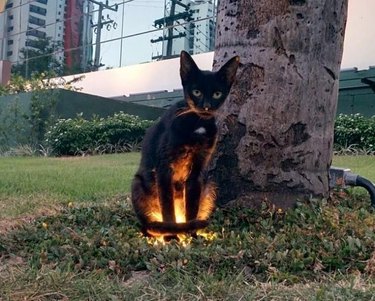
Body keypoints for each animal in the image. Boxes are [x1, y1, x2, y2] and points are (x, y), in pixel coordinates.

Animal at [131, 51, 238, 238]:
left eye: (217, 94)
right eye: (196, 91)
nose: (206, 107)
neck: (197, 124)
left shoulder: (197, 171)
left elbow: (192, 207)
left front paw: (192, 233)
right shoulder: (164, 168)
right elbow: (167, 207)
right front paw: (172, 236)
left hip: (209, 184)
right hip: (138, 184)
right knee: (148, 223)